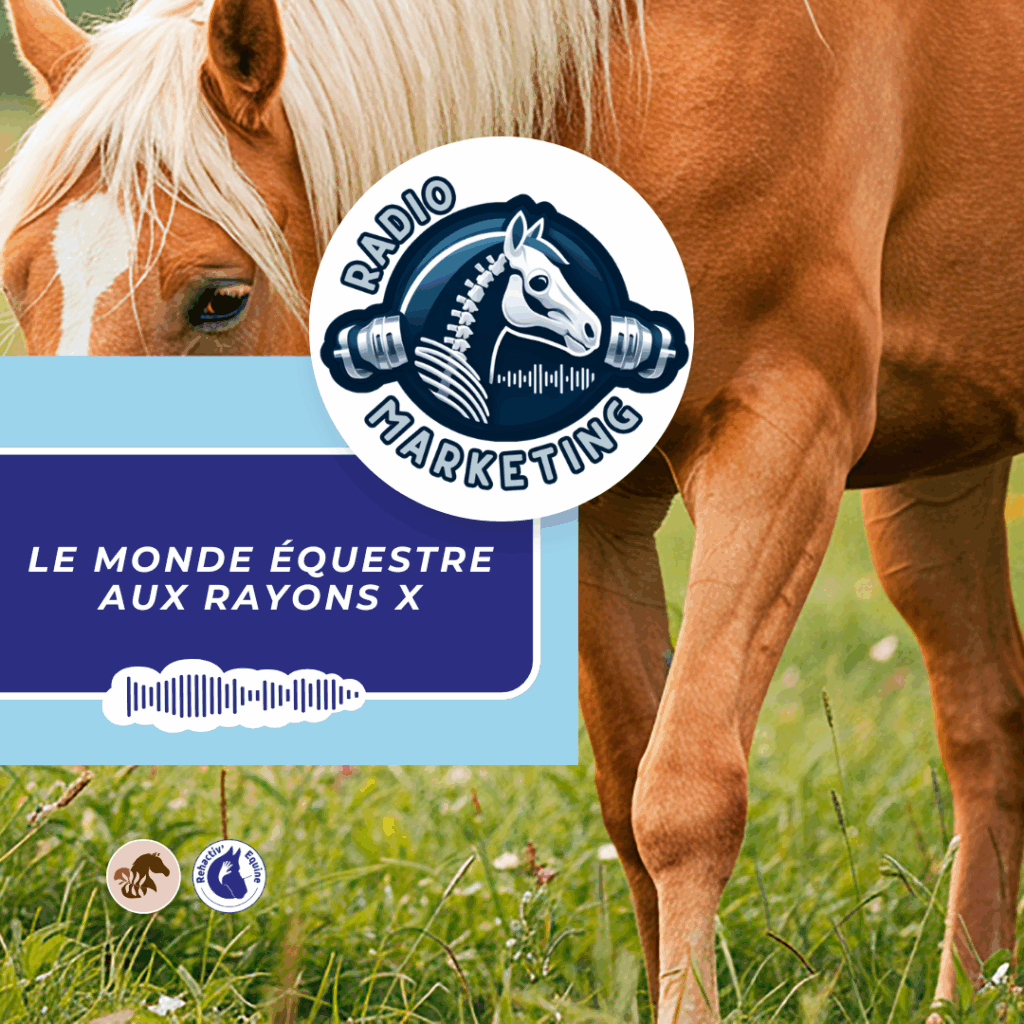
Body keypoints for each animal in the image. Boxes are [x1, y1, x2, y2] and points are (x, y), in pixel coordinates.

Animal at [4, 0, 1024, 1021]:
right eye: (18, 283)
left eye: (218, 300)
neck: (630, 70)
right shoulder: (591, 495)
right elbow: (627, 789)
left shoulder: (784, 437)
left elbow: (686, 796)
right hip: (940, 473)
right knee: (986, 722)